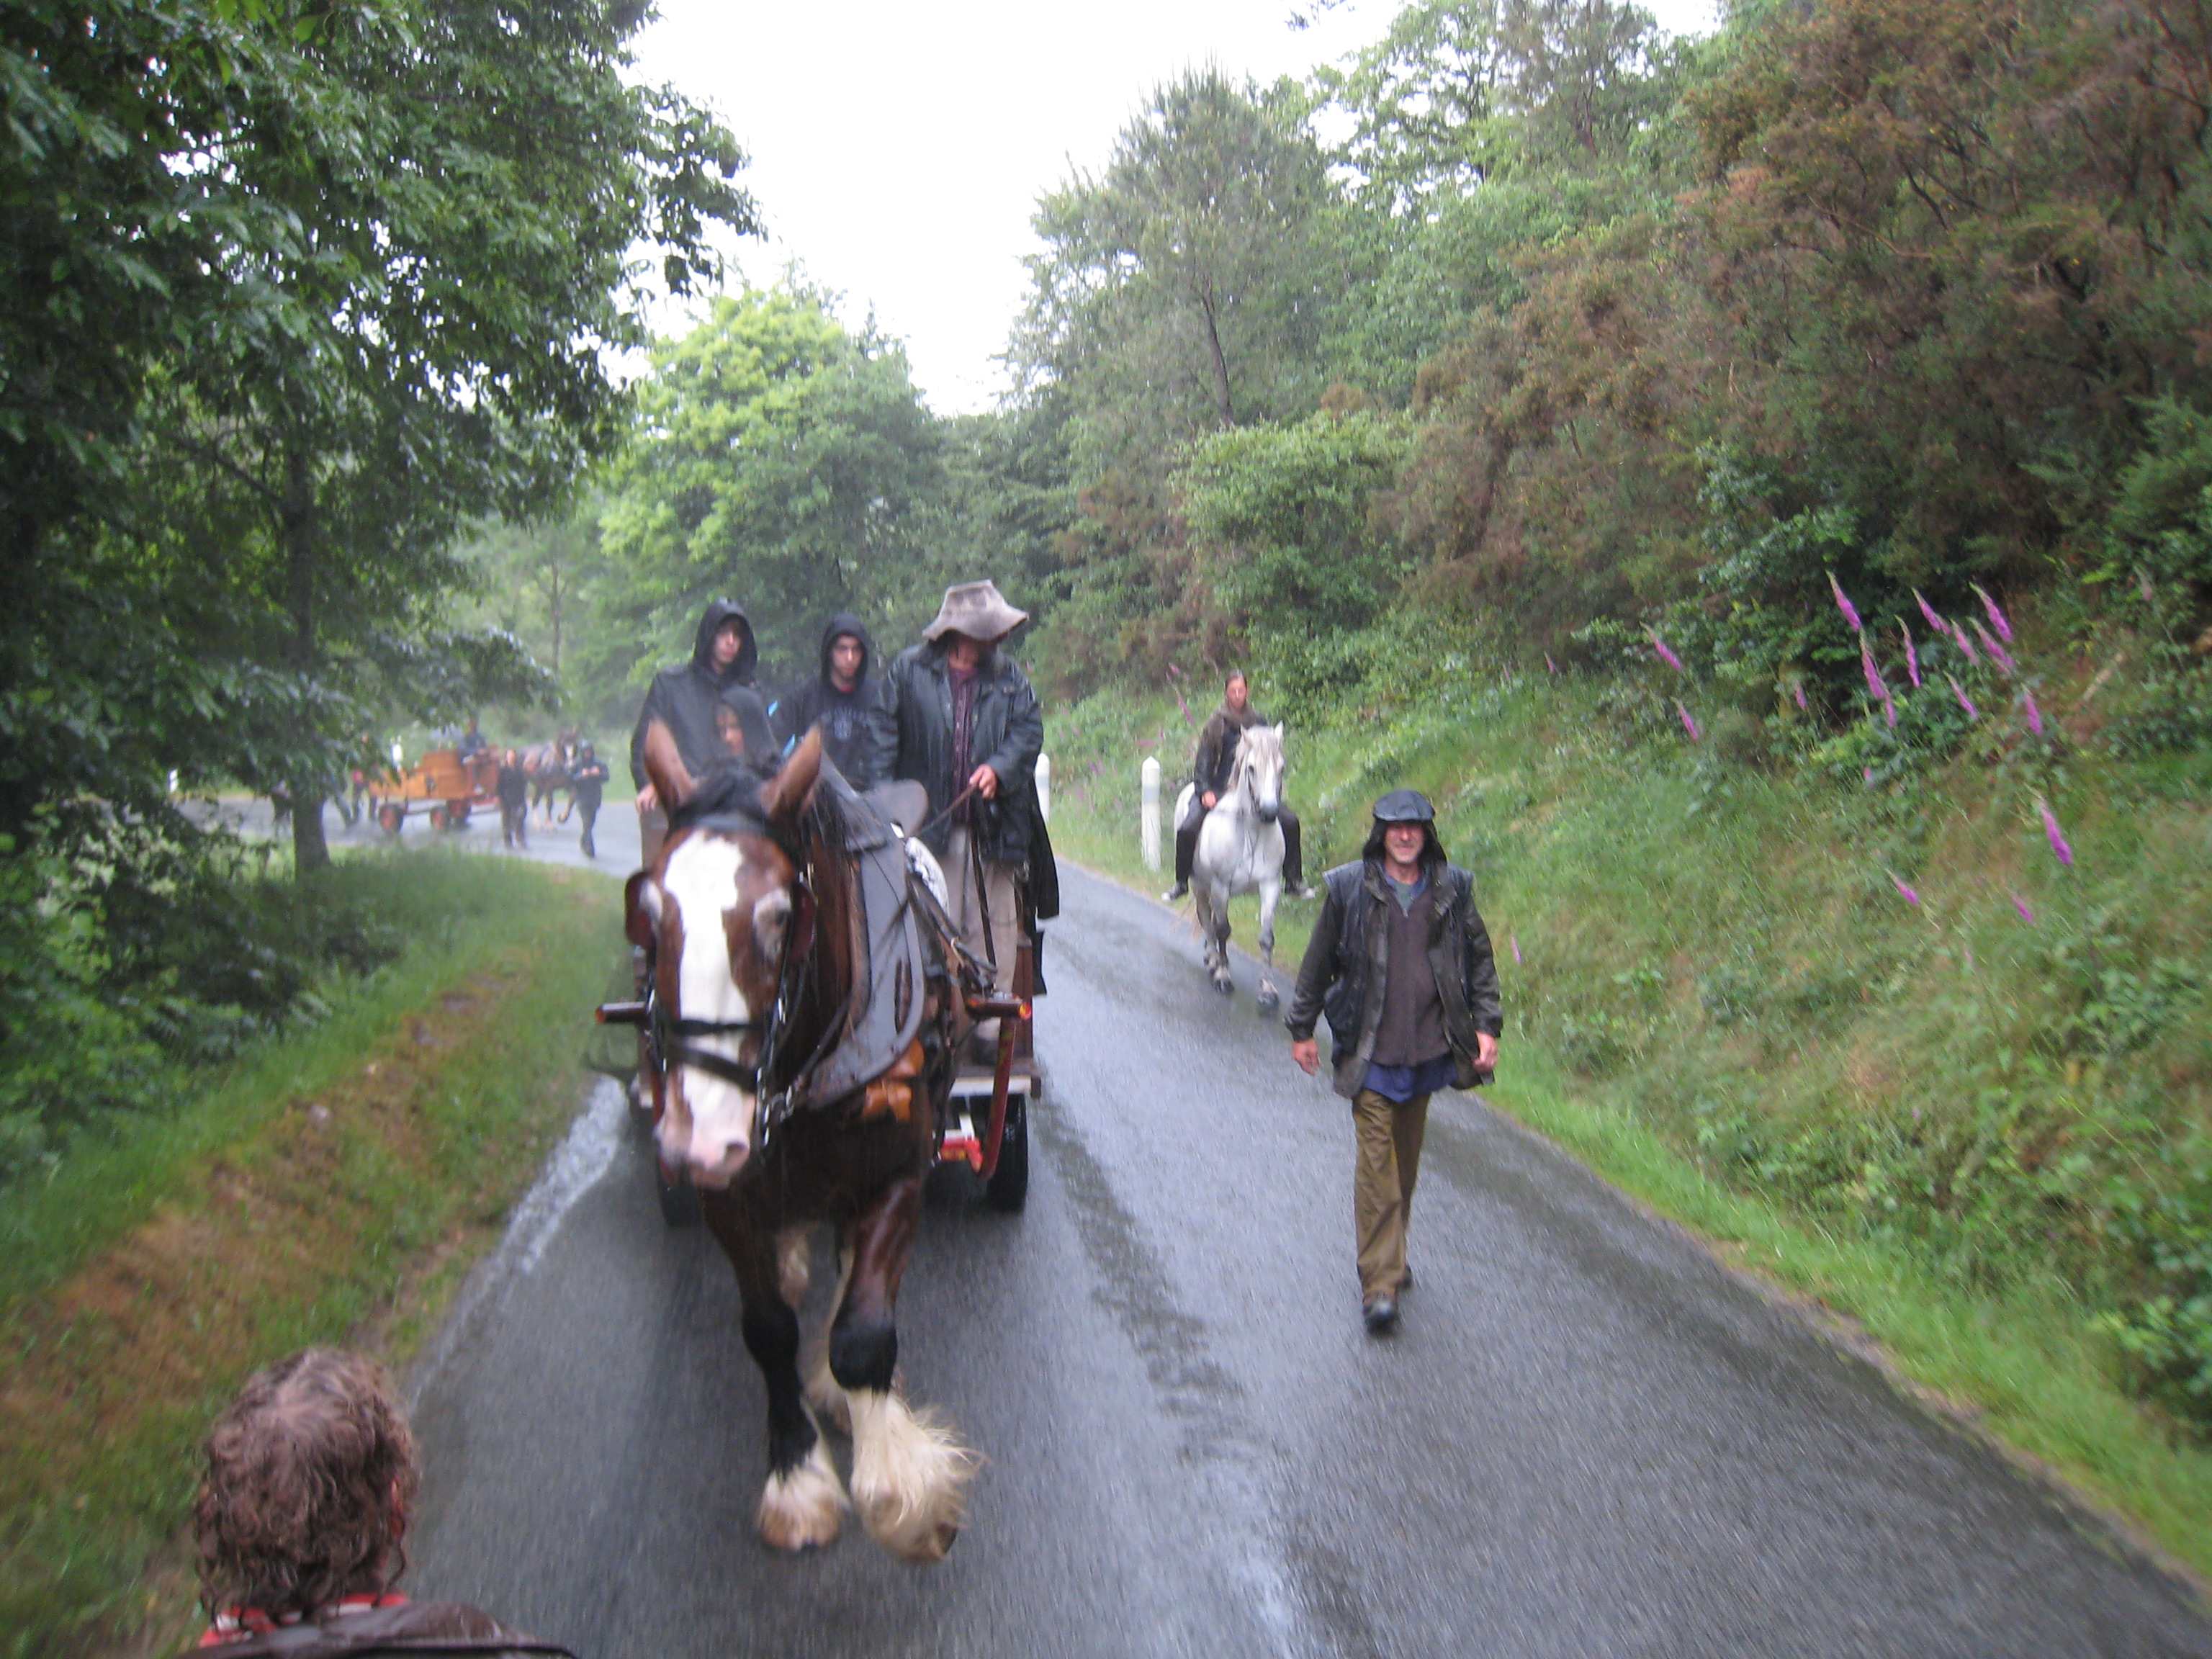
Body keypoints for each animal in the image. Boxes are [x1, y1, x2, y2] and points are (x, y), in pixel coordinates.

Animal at [627, 730, 975, 1562]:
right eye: (647, 914)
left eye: (782, 916)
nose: (699, 1140)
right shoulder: (726, 1198)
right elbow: (767, 1330)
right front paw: (796, 1481)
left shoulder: (897, 1177)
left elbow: (862, 1336)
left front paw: (902, 1491)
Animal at [1176, 723, 1289, 1008]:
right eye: (1251, 768)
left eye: (1282, 768)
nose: (1269, 812)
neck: (1251, 832)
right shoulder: (1220, 885)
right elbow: (1223, 930)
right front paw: (1223, 978)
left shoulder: (1270, 885)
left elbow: (1267, 938)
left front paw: (1268, 990)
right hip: (1200, 885)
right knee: (1206, 920)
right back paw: (1213, 961)